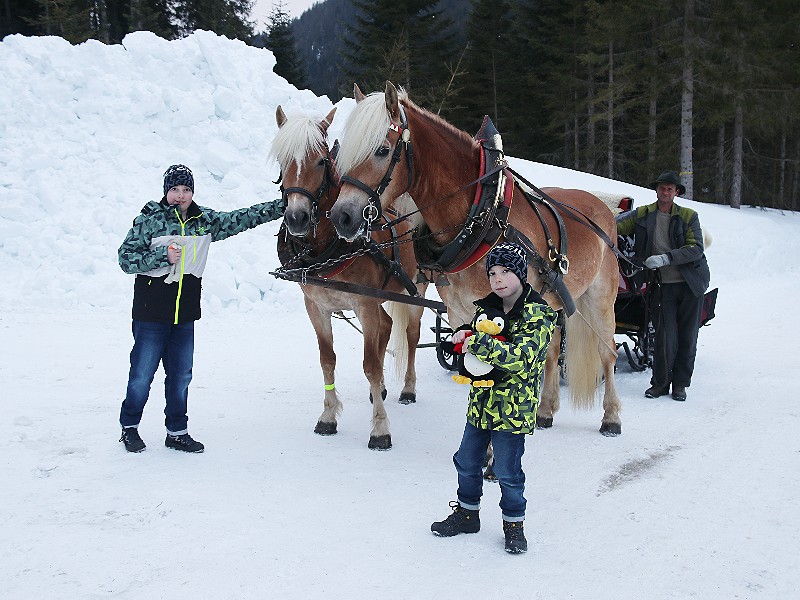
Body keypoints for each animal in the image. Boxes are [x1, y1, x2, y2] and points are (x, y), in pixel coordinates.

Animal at [270, 105, 432, 448]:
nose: (296, 217)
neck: (329, 245)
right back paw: (381, 389)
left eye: (321, 161)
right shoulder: (316, 308)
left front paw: (380, 429)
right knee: (387, 327)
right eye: (282, 161)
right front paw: (328, 416)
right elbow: (327, 360)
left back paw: (408, 388)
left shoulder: (364, 305)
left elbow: (369, 364)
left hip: (416, 287)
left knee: (410, 334)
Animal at [328, 81, 620, 436]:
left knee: (608, 353)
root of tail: (603, 207)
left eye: (383, 150)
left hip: (600, 299)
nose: (341, 216)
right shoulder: (458, 312)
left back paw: (611, 416)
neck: (482, 217)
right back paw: (546, 410)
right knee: (551, 353)